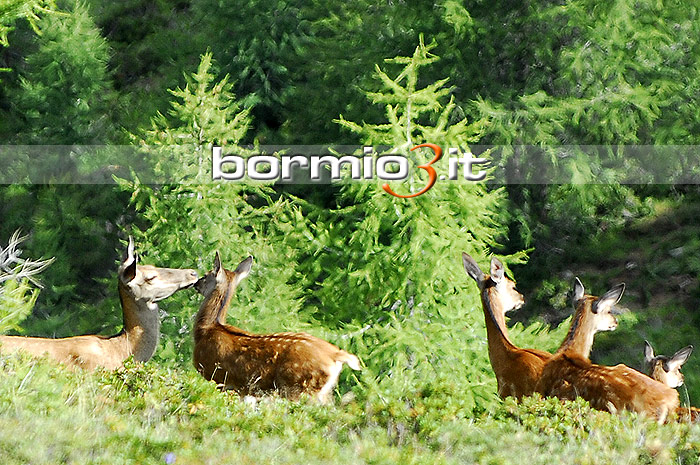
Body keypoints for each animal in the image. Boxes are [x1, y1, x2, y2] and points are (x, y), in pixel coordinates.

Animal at [193, 250, 360, 402]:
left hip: (298, 388)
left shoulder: (218, 378)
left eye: (206, 275)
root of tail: (335, 354)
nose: (195, 284)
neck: (207, 329)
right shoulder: (245, 391)